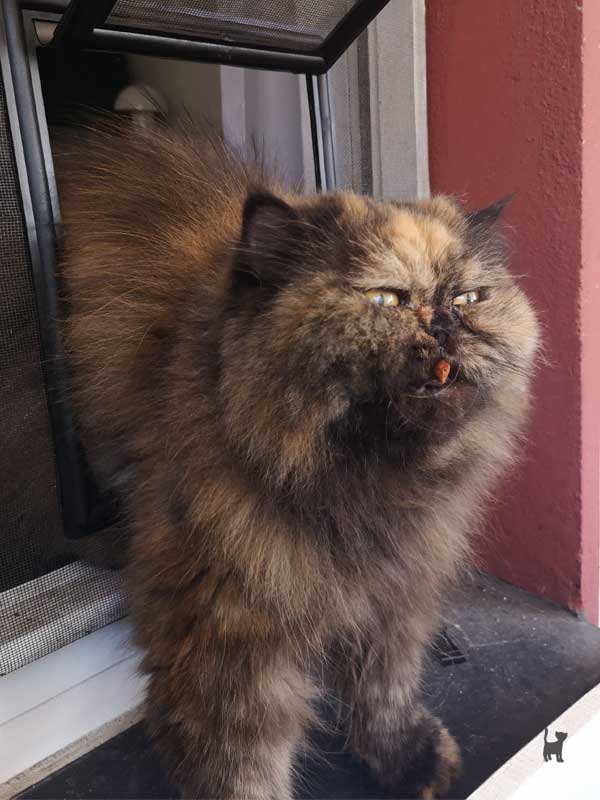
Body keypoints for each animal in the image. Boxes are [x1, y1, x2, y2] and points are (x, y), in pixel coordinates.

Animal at [52, 120, 540, 800]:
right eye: (385, 300)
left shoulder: (391, 595)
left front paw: (406, 760)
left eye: (470, 297)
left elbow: (384, 691)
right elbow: (242, 766)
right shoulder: (226, 638)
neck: (362, 492)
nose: (446, 325)